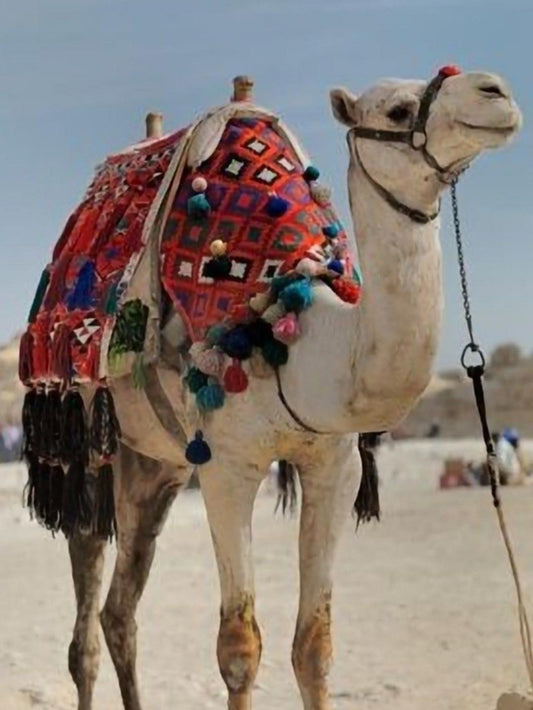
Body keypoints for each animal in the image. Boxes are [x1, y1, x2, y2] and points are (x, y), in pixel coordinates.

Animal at [24, 68, 521, 710]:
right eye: (396, 109)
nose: (496, 92)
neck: (294, 329)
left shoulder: (335, 465)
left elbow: (314, 645)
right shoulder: (226, 465)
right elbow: (239, 648)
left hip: (155, 466)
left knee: (120, 612)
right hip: (86, 433)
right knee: (84, 623)